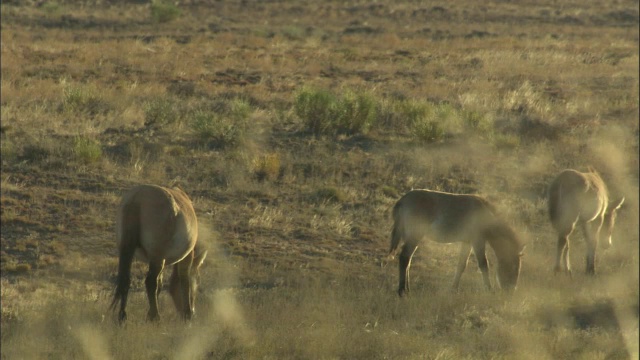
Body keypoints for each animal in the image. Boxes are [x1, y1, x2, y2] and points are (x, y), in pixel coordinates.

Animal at [110, 184, 208, 322]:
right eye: (198, 282)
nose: (194, 312)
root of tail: (137, 198)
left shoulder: (162, 261)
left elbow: (160, 285)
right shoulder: (186, 257)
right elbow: (185, 281)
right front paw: (187, 313)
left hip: (129, 252)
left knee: (126, 279)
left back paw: (123, 317)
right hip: (157, 258)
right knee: (150, 282)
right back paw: (156, 317)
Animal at [388, 190, 524, 296]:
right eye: (514, 266)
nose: (511, 290)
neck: (485, 214)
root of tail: (403, 200)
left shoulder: (467, 243)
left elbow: (461, 265)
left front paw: (453, 289)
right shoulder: (477, 241)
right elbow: (483, 264)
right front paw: (489, 290)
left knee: (408, 260)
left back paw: (407, 289)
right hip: (414, 236)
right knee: (404, 258)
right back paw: (402, 291)